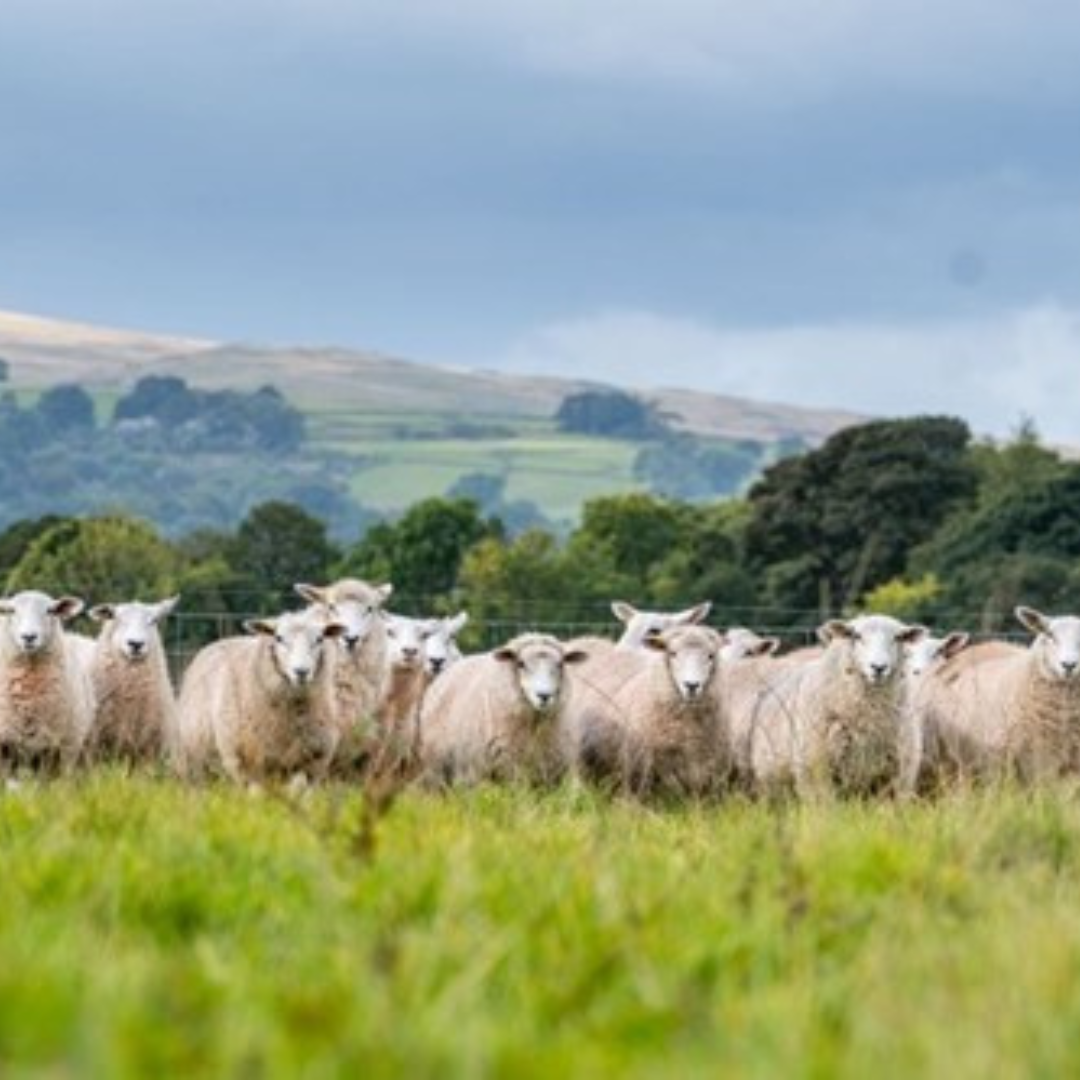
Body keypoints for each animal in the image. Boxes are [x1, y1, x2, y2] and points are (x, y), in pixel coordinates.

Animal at [176, 608, 346, 785]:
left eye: (319, 639)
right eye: (278, 638)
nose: (301, 672)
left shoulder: (310, 764)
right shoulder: (247, 764)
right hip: (196, 764)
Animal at [419, 633, 588, 787]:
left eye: (560, 664)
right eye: (521, 663)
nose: (544, 695)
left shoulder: (550, 775)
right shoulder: (508, 771)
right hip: (442, 770)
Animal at [737, 615, 926, 800]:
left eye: (898, 638)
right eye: (856, 636)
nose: (878, 667)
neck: (870, 715)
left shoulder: (898, 777)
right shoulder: (816, 770)